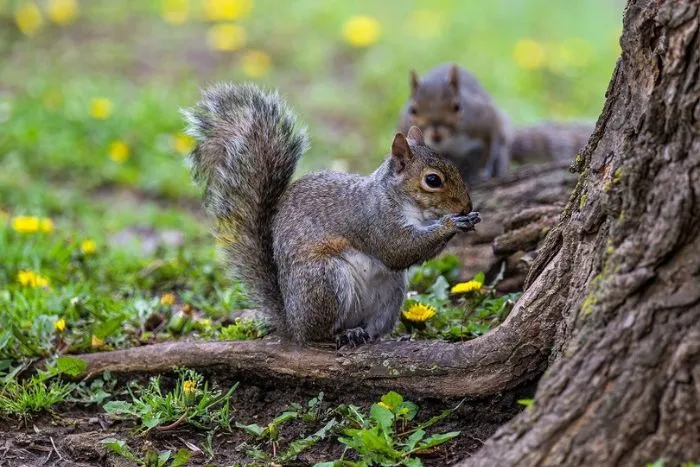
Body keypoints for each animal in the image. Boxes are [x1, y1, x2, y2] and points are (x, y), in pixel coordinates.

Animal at [184, 83, 480, 348]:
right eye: (432, 180)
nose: (466, 206)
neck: (403, 202)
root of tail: (293, 322)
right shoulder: (373, 220)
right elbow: (398, 249)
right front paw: (452, 224)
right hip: (325, 280)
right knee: (318, 334)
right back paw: (338, 336)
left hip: (390, 292)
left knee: (372, 326)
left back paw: (371, 334)